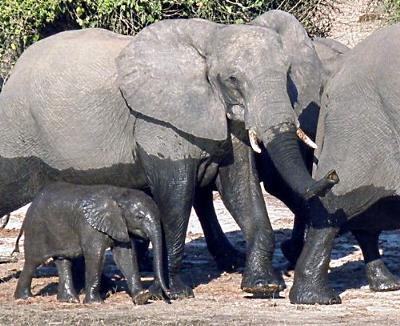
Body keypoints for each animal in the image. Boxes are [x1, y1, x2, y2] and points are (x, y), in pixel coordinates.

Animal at [14, 182, 169, 304]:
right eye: (139, 217)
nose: (168, 293)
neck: (118, 195)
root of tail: (33, 202)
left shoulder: (120, 225)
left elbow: (125, 256)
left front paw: (142, 298)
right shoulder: (89, 226)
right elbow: (95, 255)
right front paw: (95, 302)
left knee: (63, 261)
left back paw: (69, 300)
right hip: (36, 229)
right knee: (33, 262)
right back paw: (24, 297)